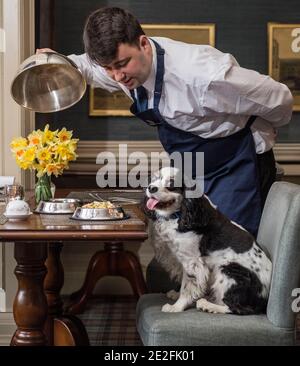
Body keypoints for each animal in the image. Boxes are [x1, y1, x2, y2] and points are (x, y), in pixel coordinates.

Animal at [143, 167, 272, 314]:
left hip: (229, 271)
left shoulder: (193, 262)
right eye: (155, 178)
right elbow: (184, 282)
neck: (180, 214)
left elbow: (187, 286)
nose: (151, 188)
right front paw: (176, 295)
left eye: (171, 184)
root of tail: (264, 300)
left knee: (236, 308)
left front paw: (176, 307)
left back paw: (207, 304)